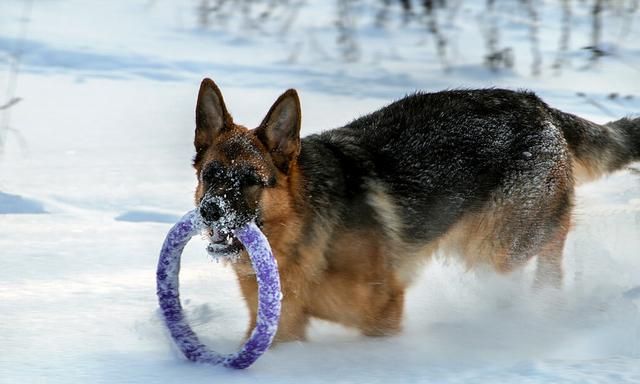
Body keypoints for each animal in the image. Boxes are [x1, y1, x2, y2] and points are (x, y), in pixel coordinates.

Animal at [191, 78, 640, 342]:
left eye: (251, 180)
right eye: (210, 175)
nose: (210, 212)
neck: (300, 235)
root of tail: (539, 106)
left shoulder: (383, 316)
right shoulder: (279, 329)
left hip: (501, 244)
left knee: (553, 243)